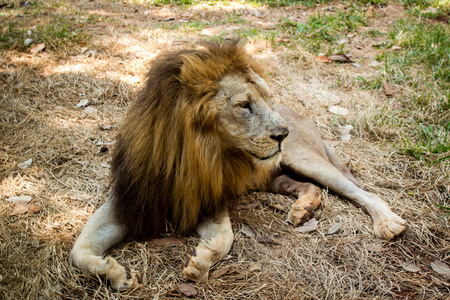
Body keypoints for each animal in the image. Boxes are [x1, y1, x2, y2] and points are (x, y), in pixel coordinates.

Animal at [70, 41, 408, 290]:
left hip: (303, 158)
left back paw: (388, 223)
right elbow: (78, 251)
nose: (283, 134)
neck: (188, 156)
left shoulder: (210, 199)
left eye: (268, 100)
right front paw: (117, 275)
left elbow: (224, 239)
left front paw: (200, 263)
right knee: (310, 188)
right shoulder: (130, 199)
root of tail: (302, 117)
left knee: (360, 191)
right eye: (244, 105)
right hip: (272, 175)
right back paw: (303, 210)